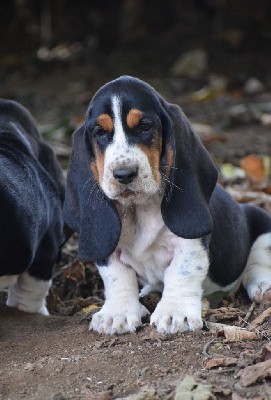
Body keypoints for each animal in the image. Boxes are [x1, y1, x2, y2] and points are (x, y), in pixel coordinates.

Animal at [63, 76, 271, 334]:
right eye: (100, 132)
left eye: (145, 126)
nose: (124, 174)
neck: (139, 209)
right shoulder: (108, 248)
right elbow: (117, 275)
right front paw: (117, 313)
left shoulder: (190, 244)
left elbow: (181, 271)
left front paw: (175, 312)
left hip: (261, 220)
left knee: (257, 260)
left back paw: (263, 285)